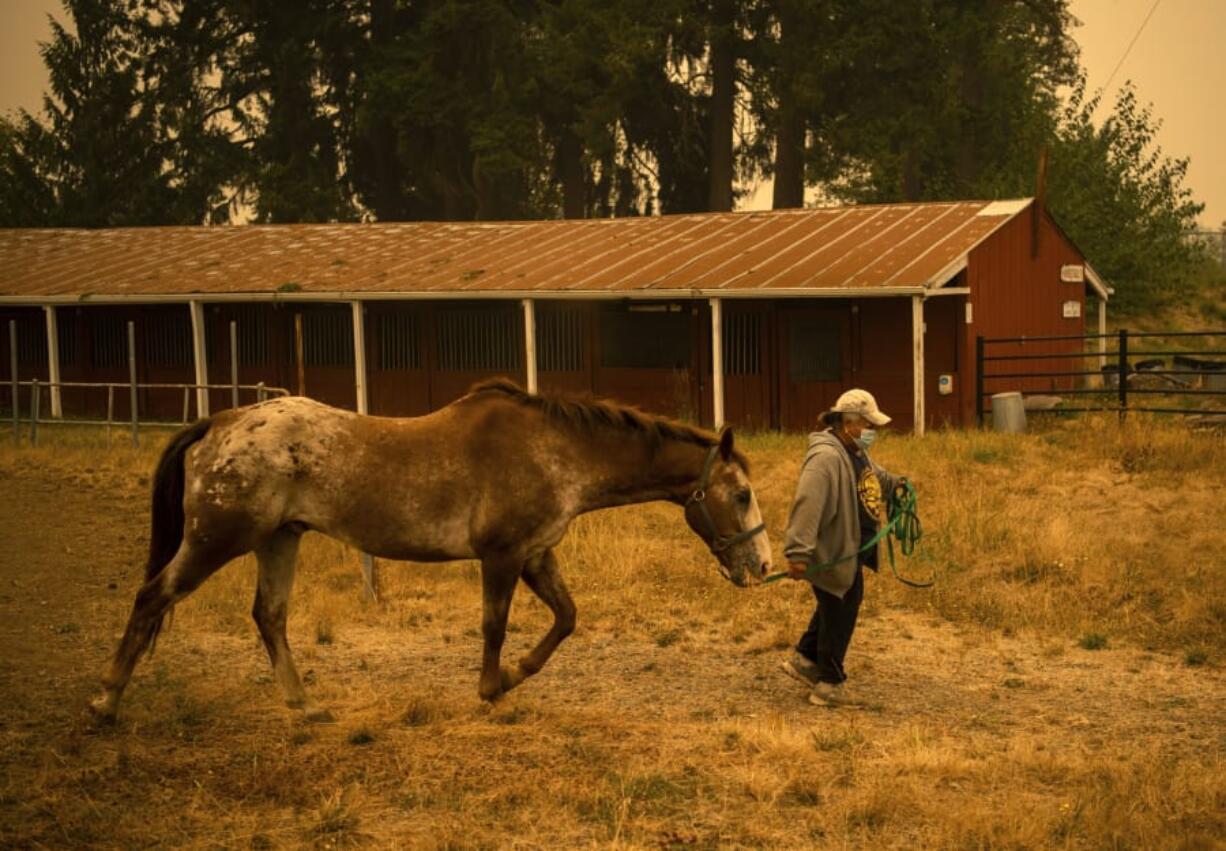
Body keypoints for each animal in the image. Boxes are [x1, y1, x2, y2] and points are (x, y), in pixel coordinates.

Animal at [90, 377, 769, 721]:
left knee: (269, 617)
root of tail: (221, 422)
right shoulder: (502, 556)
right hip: (217, 539)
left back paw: (304, 705)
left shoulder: (535, 555)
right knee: (152, 597)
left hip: (277, 540)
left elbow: (566, 619)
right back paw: (106, 700)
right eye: (740, 495)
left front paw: (516, 675)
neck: (555, 450)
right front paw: (492, 689)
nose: (761, 566)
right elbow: (494, 626)